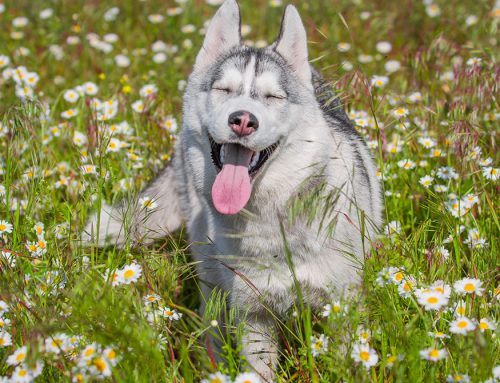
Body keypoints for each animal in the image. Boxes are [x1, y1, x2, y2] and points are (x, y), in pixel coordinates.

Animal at [84, 0, 382, 378]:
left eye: (273, 97)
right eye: (223, 90)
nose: (242, 120)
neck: (272, 224)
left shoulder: (343, 307)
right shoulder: (252, 316)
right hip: (213, 283)